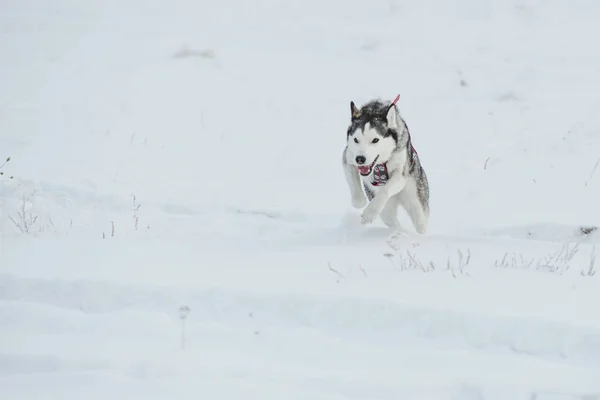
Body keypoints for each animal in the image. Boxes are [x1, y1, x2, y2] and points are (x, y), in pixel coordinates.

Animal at [340, 97, 428, 233]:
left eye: (375, 140)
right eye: (356, 139)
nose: (360, 159)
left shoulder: (400, 173)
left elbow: (386, 189)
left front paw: (369, 213)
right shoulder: (348, 158)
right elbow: (353, 183)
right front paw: (359, 201)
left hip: (416, 202)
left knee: (420, 223)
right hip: (386, 210)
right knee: (393, 222)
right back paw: (399, 233)